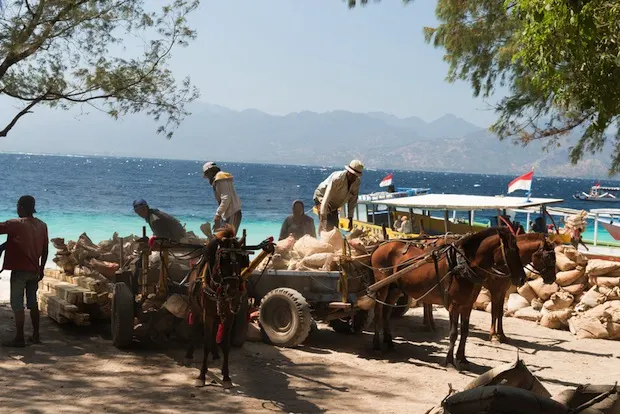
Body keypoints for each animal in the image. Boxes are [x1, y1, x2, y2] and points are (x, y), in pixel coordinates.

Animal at [183, 226, 248, 388]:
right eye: (222, 259)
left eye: (241, 260)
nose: (233, 291)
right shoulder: (207, 315)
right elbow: (205, 343)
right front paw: (201, 376)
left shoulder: (229, 316)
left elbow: (225, 345)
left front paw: (226, 376)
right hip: (196, 309)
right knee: (195, 328)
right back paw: (189, 355)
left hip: (218, 314)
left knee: (213, 333)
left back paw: (216, 355)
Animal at [370, 228, 524, 370]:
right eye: (511, 251)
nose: (522, 279)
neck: (462, 266)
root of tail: (382, 245)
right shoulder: (453, 306)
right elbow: (453, 333)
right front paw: (450, 361)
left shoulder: (467, 305)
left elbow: (465, 332)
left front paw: (462, 358)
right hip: (382, 286)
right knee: (378, 312)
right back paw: (376, 345)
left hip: (395, 289)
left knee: (386, 313)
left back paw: (389, 342)